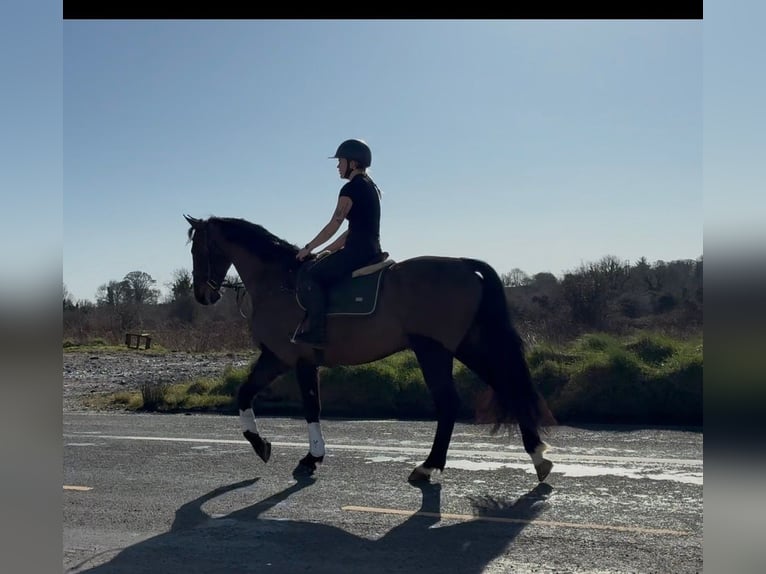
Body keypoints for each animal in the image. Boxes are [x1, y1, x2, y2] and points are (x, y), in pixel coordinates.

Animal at [184, 215, 556, 483]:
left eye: (197, 249)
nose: (202, 295)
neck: (278, 282)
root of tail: (464, 264)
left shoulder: (294, 358)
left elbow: (310, 408)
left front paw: (309, 457)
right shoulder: (278, 357)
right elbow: (245, 394)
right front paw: (262, 444)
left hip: (433, 350)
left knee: (450, 403)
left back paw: (428, 466)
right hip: (467, 345)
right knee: (507, 387)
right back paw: (538, 455)